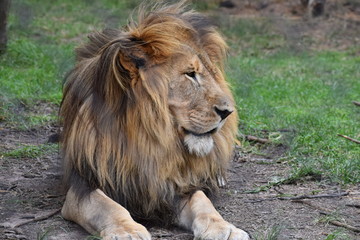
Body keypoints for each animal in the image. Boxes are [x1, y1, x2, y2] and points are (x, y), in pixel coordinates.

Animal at [59, 1, 250, 240]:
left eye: (211, 74)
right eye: (190, 74)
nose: (228, 112)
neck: (149, 140)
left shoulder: (175, 186)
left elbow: (202, 200)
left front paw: (224, 228)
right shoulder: (82, 185)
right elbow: (108, 206)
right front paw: (127, 231)